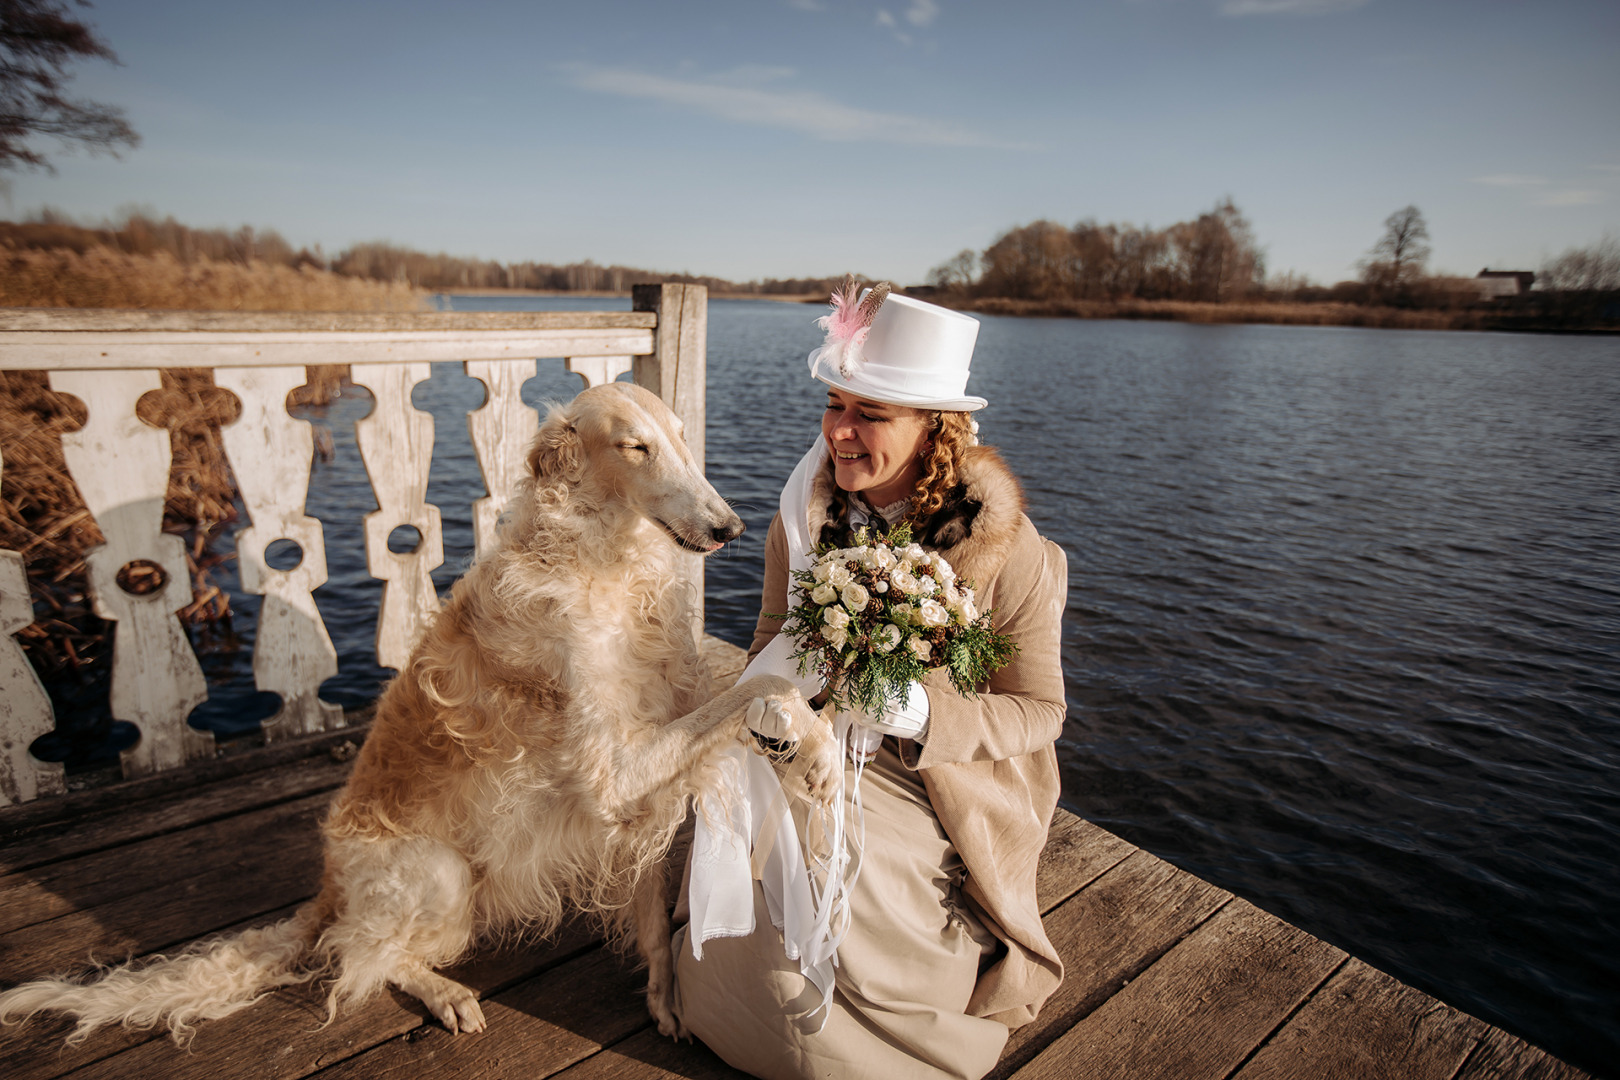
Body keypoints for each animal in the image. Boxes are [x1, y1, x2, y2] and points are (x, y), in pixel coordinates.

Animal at [0, 383, 816, 1042]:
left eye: (680, 436)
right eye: (635, 447)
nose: (730, 528)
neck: (602, 567)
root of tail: (331, 888)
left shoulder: (643, 773)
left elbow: (654, 906)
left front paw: (666, 1004)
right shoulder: (612, 773)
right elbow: (751, 692)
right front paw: (805, 723)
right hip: (442, 875)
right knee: (366, 962)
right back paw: (445, 995)